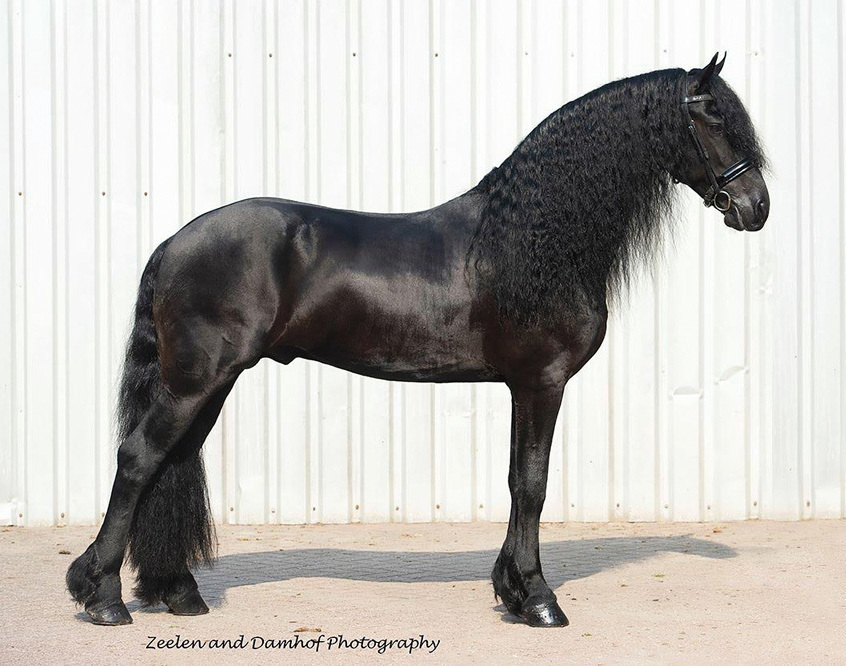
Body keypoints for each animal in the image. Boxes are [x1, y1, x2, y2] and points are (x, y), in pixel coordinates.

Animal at [67, 52, 769, 628]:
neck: (533, 238)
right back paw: (100, 596)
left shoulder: (521, 385)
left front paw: (512, 592)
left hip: (207, 384)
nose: (755, 206)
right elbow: (534, 484)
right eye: (711, 114)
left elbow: (516, 480)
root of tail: (173, 243)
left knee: (170, 464)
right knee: (138, 460)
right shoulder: (542, 380)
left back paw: (177, 592)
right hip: (196, 381)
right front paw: (540, 599)